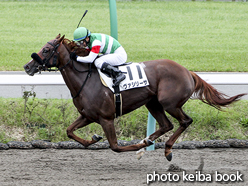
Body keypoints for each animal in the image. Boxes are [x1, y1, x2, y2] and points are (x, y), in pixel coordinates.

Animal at [23, 35, 246, 161]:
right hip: (152, 103)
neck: (85, 79)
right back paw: (148, 141)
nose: (27, 66)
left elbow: (115, 147)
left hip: (170, 103)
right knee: (167, 125)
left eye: (46, 49)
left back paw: (164, 149)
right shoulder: (88, 116)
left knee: (185, 121)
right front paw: (93, 138)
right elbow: (69, 131)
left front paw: (137, 147)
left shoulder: (106, 118)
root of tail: (187, 71)